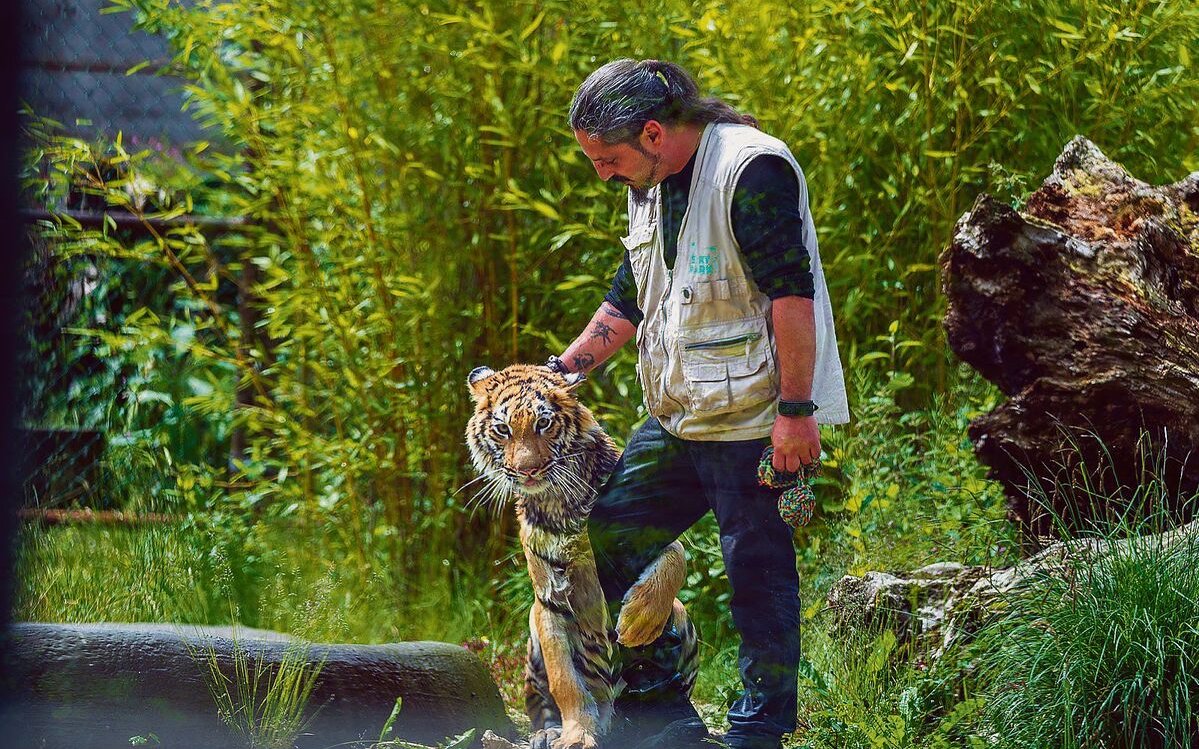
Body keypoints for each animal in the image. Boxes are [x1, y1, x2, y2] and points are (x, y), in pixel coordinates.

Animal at [465, 364, 700, 747]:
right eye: (503, 429)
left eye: (543, 423)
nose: (528, 470)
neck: (560, 501)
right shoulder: (549, 599)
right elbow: (566, 682)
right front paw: (577, 734)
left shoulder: (643, 529)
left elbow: (675, 557)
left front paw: (637, 621)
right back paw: (547, 733)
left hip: (682, 621)